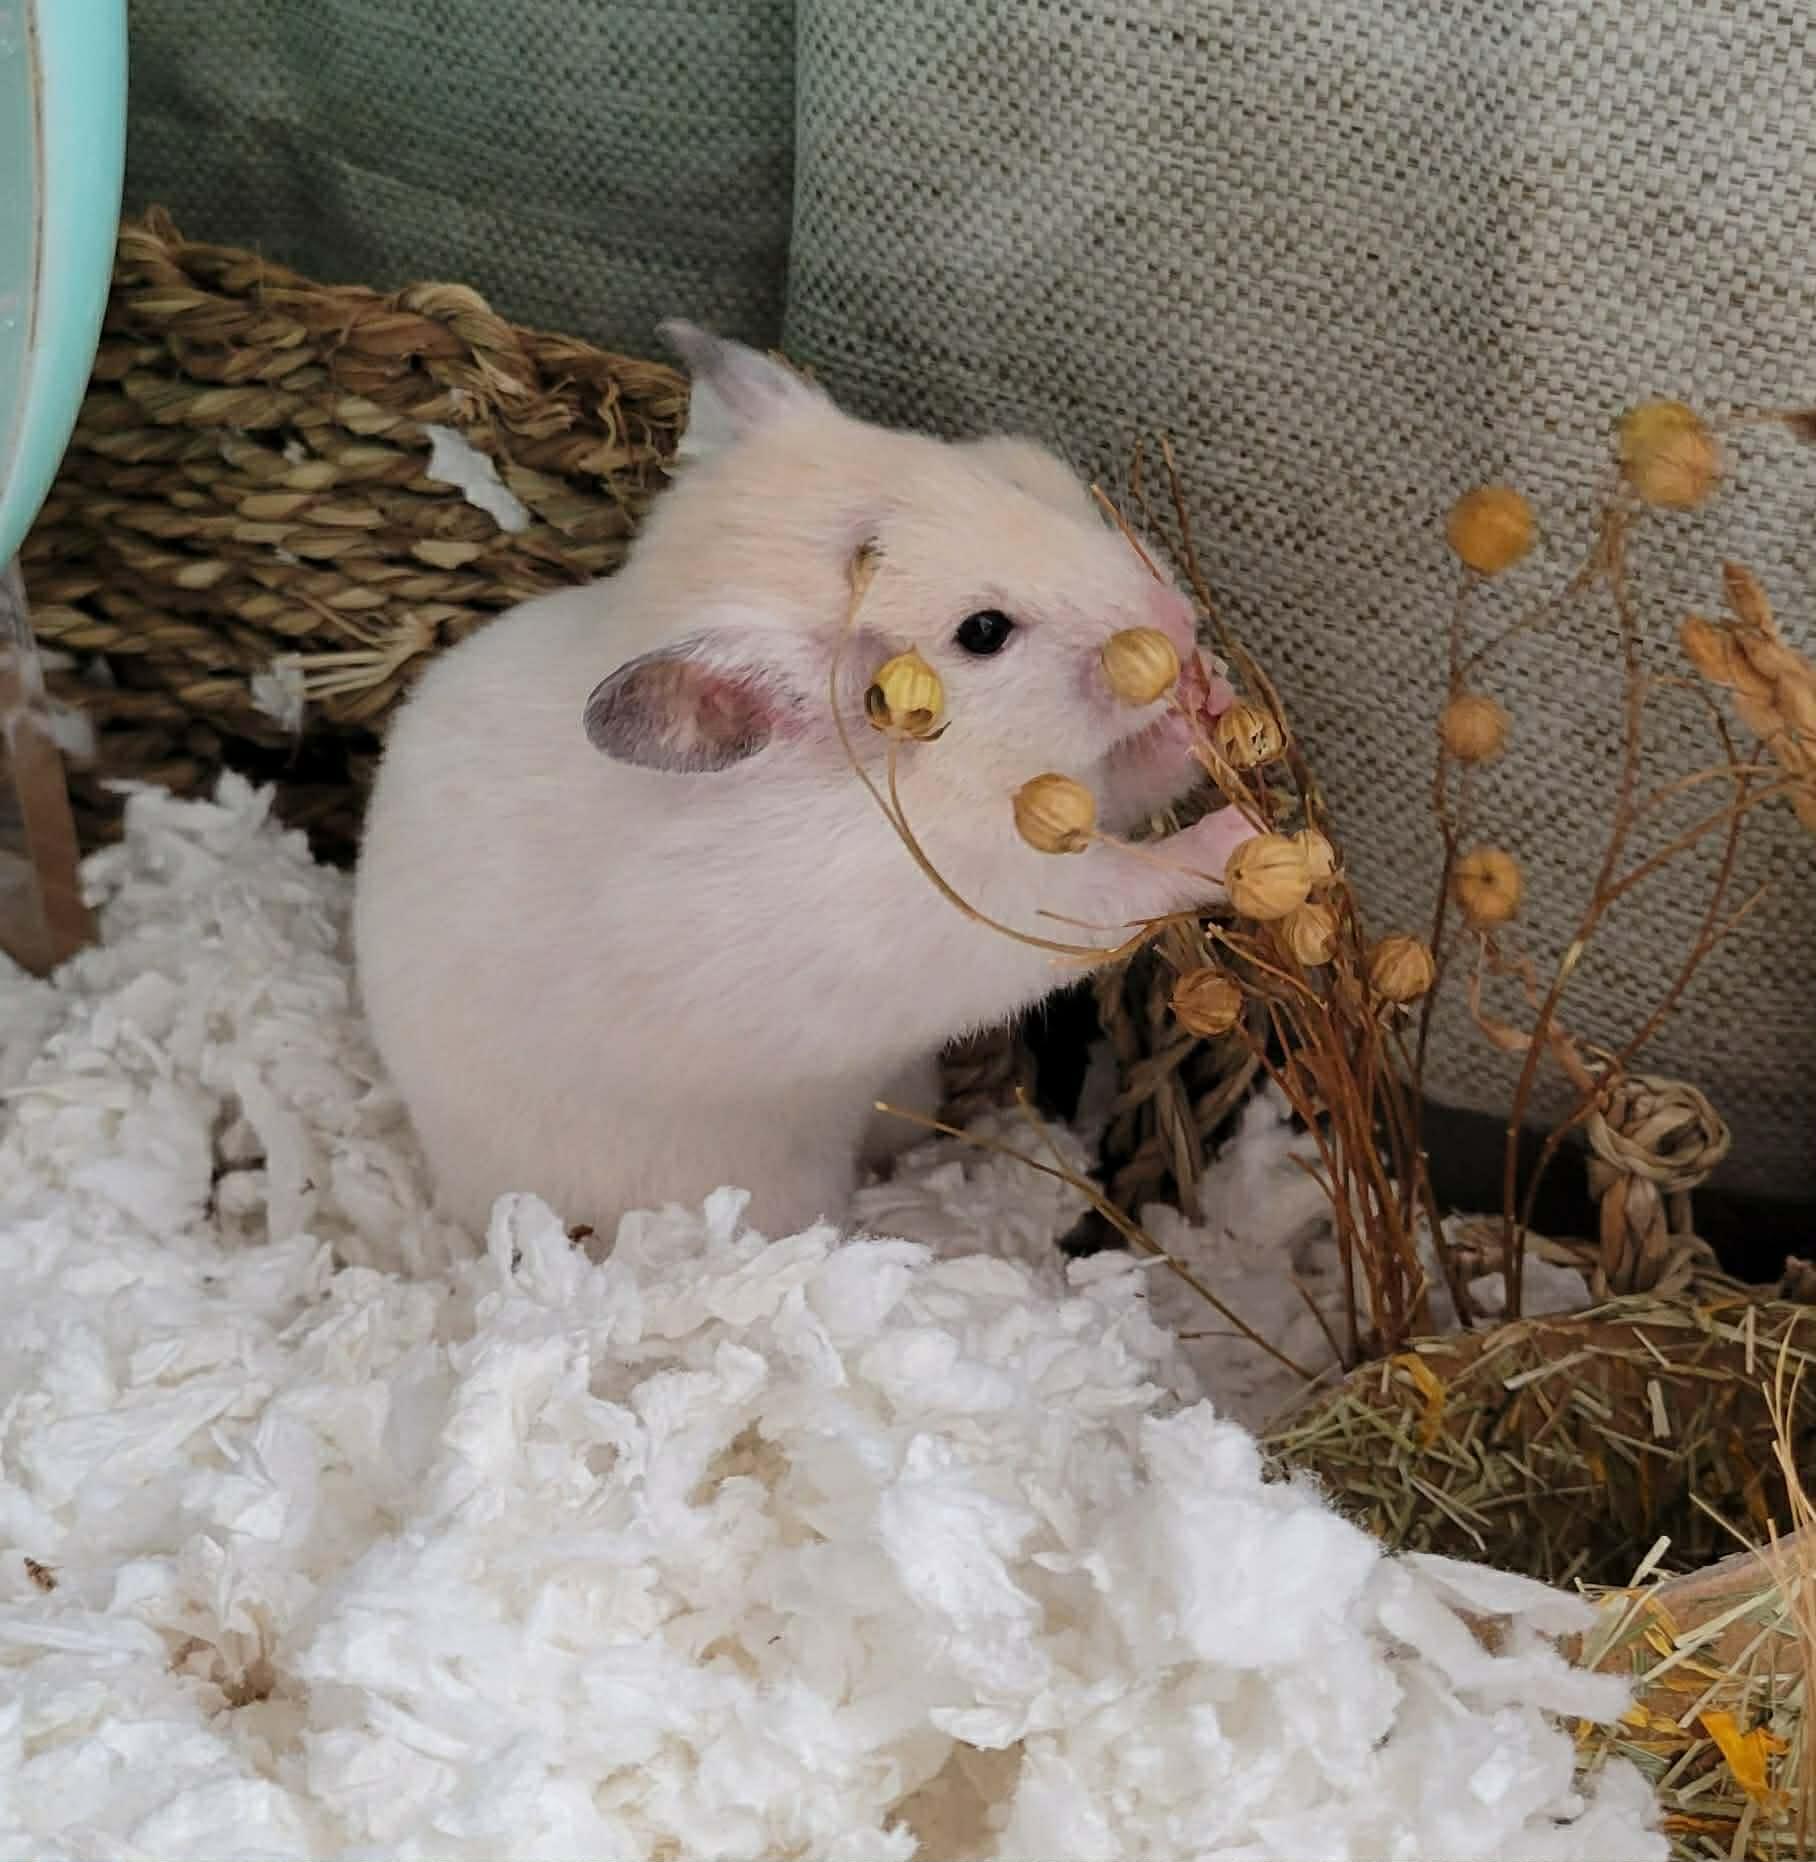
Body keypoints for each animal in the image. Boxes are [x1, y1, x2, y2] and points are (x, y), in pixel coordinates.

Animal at [351, 322, 1256, 1247]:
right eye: (984, 632)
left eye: (1003, 481)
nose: (1183, 622)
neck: (943, 779)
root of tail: (458, 1201)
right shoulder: (986, 912)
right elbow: (1124, 887)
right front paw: (1242, 835)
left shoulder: (1084, 791)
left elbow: (1137, 775)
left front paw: (1213, 696)